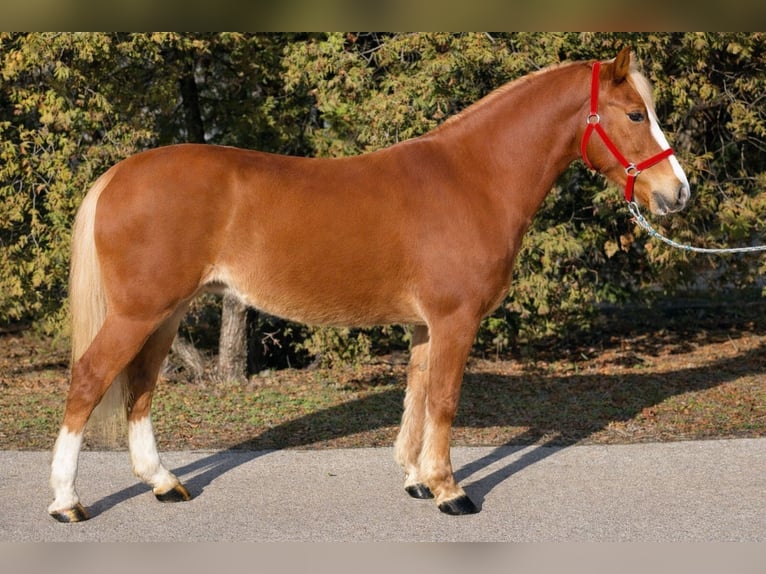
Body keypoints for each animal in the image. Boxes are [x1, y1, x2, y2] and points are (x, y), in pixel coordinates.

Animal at [48, 47, 690, 521]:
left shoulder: (425, 326)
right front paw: (451, 492)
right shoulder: (454, 320)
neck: (473, 178)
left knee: (139, 389)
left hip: (167, 313)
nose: (677, 192)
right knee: (89, 380)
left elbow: (417, 397)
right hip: (139, 312)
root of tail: (117, 174)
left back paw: (163, 483)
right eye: (635, 114)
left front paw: (417, 480)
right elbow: (444, 400)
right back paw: (67, 502)